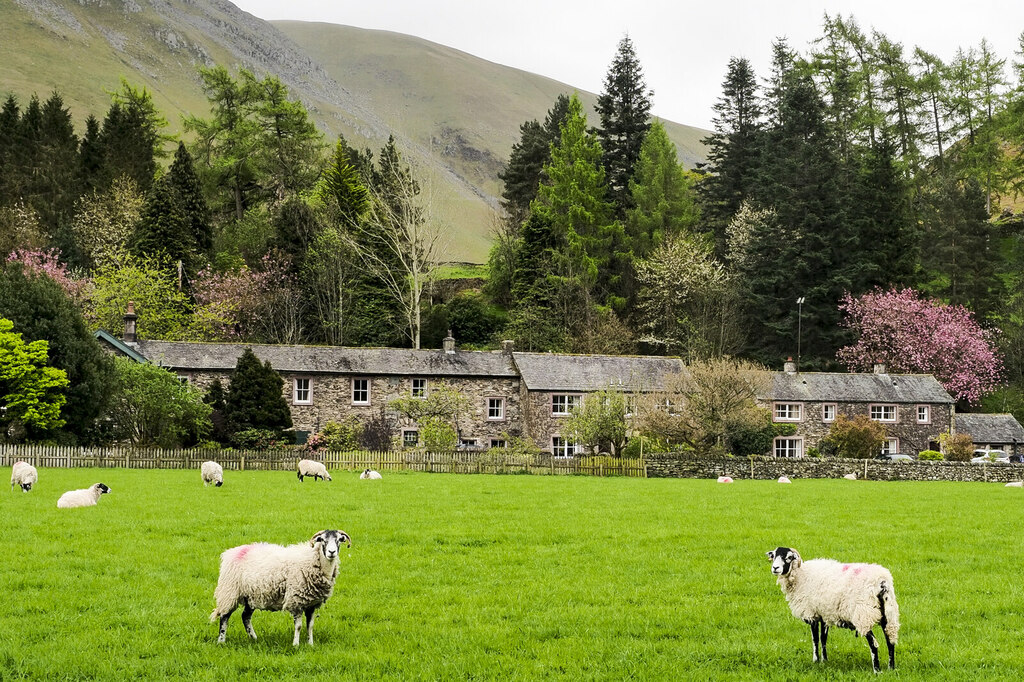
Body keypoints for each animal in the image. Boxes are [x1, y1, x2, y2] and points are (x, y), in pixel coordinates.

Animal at [208, 528, 352, 647]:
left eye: (339, 540)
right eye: (322, 540)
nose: (331, 552)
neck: (313, 560)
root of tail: (231, 552)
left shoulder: (312, 603)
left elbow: (310, 626)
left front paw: (310, 644)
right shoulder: (296, 600)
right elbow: (299, 626)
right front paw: (296, 645)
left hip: (250, 595)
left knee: (245, 617)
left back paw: (254, 638)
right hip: (230, 592)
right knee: (224, 616)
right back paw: (221, 641)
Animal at [765, 540, 901, 667]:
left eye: (788, 557)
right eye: (774, 556)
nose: (775, 568)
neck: (801, 575)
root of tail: (882, 581)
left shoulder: (812, 614)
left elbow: (815, 639)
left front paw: (815, 660)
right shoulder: (824, 614)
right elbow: (823, 638)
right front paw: (824, 660)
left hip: (864, 615)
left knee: (873, 644)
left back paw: (877, 670)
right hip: (889, 613)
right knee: (890, 641)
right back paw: (891, 667)